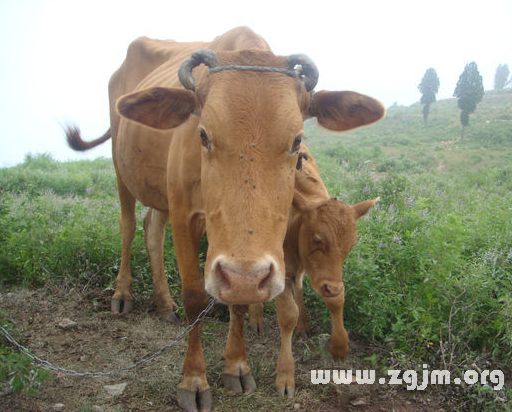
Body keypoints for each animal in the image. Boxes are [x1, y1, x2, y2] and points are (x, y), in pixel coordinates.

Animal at [250, 146, 378, 398]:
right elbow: (287, 315)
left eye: (351, 245)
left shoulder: (327, 276)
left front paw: (339, 346)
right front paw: (285, 373)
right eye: (317, 240)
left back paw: (304, 323)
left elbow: (336, 300)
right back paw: (256, 315)